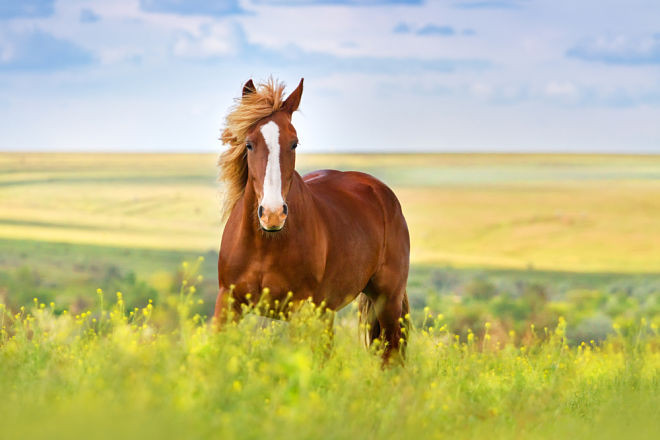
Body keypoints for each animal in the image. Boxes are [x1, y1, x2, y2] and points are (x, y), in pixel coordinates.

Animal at [214, 78, 410, 360]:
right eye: (249, 144)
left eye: (294, 143)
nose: (273, 214)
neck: (266, 244)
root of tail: (380, 191)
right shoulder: (227, 303)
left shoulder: (299, 310)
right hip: (328, 311)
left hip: (388, 301)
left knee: (391, 355)